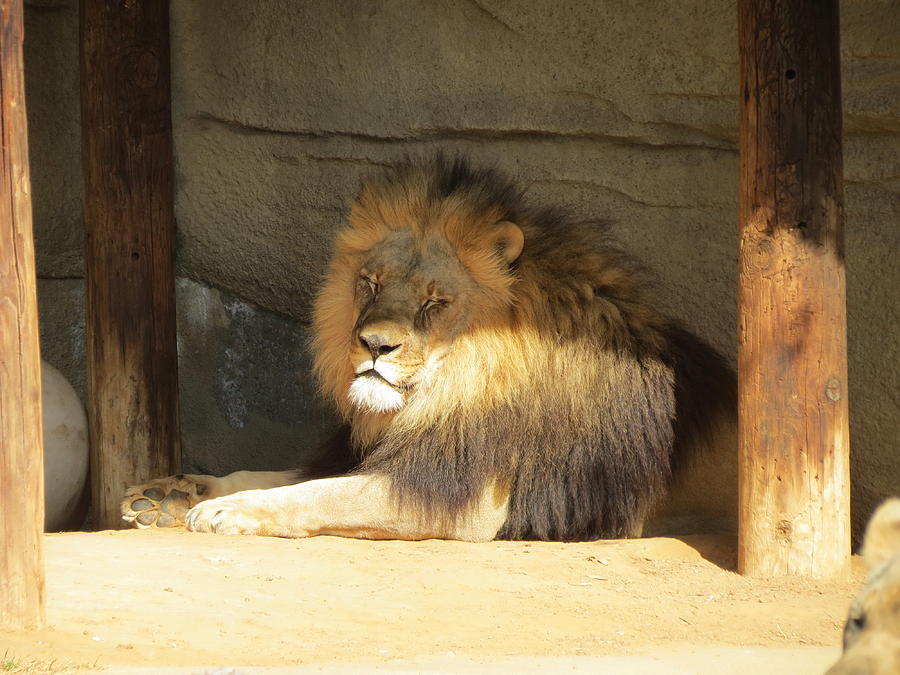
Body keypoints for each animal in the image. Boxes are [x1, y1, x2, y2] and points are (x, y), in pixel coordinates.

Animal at [121, 156, 740, 540]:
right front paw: (168, 493)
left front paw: (228, 509)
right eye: (370, 283)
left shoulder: (467, 498)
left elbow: (322, 495)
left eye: (435, 302)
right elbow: (278, 474)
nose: (374, 345)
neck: (451, 387)